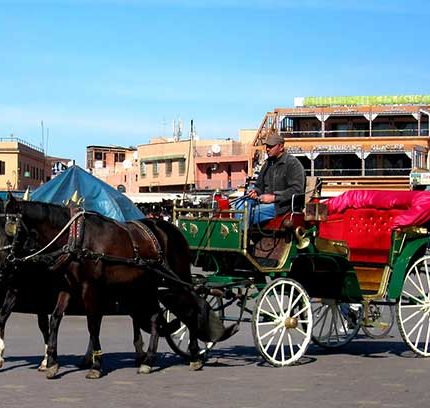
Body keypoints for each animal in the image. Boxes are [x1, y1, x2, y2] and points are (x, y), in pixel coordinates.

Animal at [0, 196, 228, 378]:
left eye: (9, 226)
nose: (4, 262)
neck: (76, 239)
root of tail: (172, 228)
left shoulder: (90, 288)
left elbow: (93, 324)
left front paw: (96, 365)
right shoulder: (66, 287)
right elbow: (55, 320)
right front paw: (52, 363)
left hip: (176, 280)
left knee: (191, 308)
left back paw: (194, 355)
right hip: (146, 286)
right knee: (155, 317)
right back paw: (148, 360)